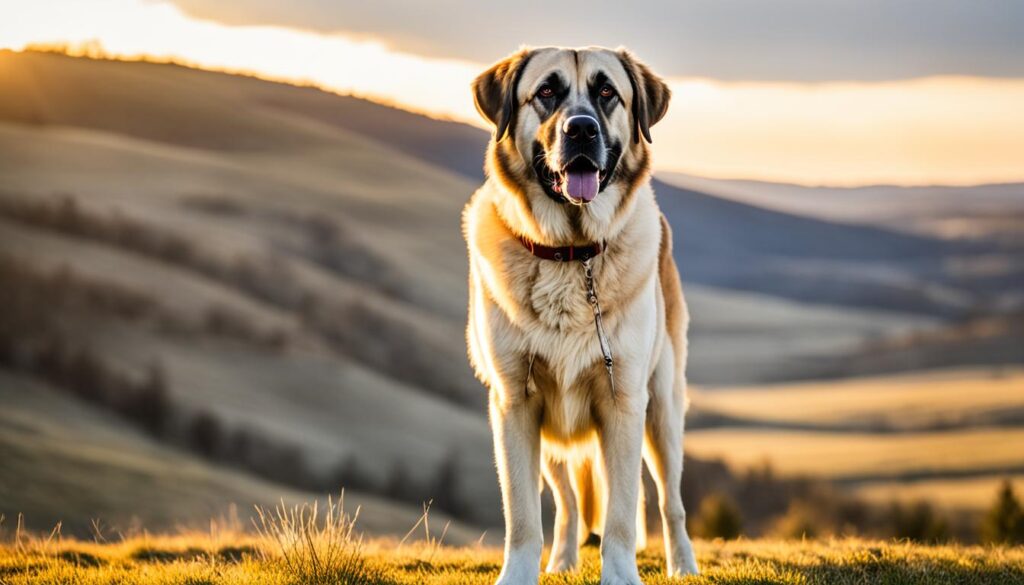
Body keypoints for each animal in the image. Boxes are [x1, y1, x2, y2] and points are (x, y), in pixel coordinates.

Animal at [462, 46, 696, 585]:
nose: (582, 130)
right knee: (568, 502)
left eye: (607, 91)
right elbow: (523, 515)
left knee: (669, 500)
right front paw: (520, 574)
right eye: (546, 91)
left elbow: (621, 515)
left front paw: (621, 576)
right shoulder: (515, 404)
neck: (570, 253)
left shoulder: (624, 403)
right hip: (552, 436)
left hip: (663, 408)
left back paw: (684, 564)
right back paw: (564, 559)